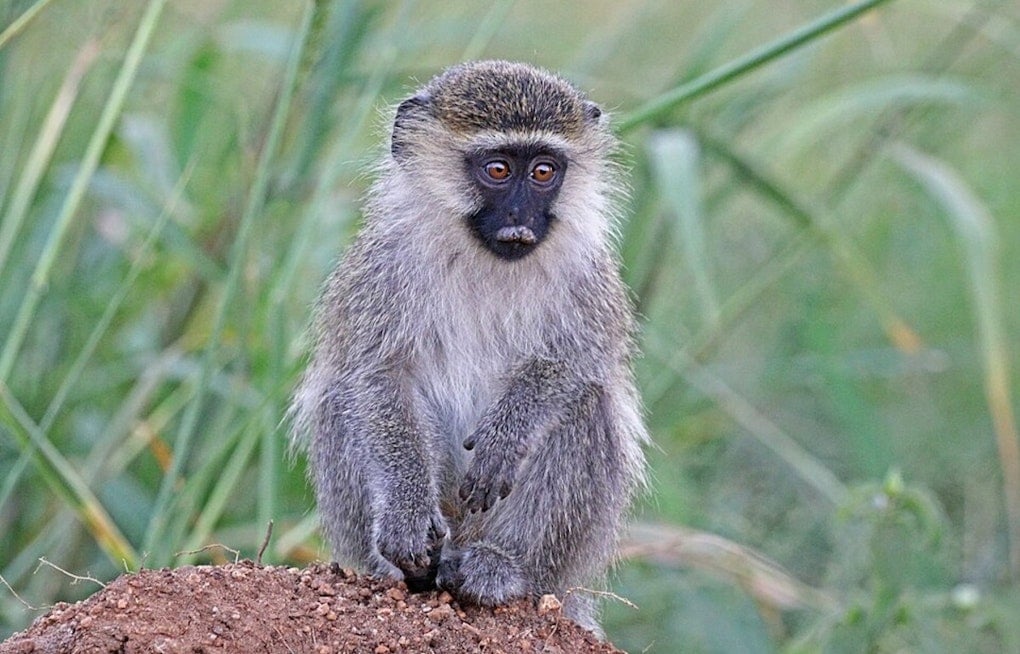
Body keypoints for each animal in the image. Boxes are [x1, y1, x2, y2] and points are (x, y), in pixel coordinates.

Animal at [291, 60, 648, 633]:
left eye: (543, 172)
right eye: (498, 170)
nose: (520, 219)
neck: (485, 259)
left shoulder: (590, 275)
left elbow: (574, 365)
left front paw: (507, 435)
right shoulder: (383, 265)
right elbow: (376, 376)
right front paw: (406, 518)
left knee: (587, 405)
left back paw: (500, 567)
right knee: (341, 401)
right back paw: (407, 568)